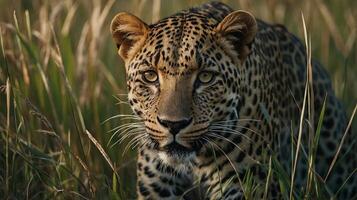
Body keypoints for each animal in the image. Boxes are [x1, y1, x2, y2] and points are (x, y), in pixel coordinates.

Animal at [110, 1, 354, 198]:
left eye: (205, 77)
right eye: (150, 76)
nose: (174, 124)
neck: (193, 164)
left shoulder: (246, 187)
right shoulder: (157, 188)